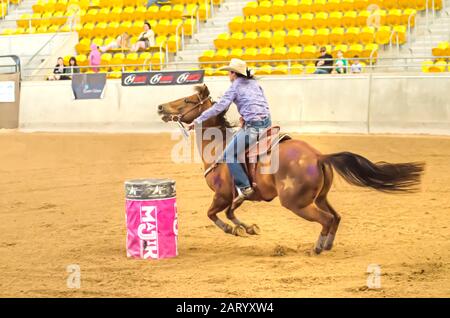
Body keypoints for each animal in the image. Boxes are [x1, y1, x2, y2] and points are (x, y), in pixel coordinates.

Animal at [159, 84, 426, 253]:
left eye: (187, 100)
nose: (161, 107)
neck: (218, 147)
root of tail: (319, 156)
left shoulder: (222, 194)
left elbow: (213, 214)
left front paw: (234, 230)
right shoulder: (239, 195)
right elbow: (231, 211)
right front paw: (248, 228)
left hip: (296, 203)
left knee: (327, 219)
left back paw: (317, 248)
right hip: (319, 198)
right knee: (336, 217)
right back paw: (327, 245)